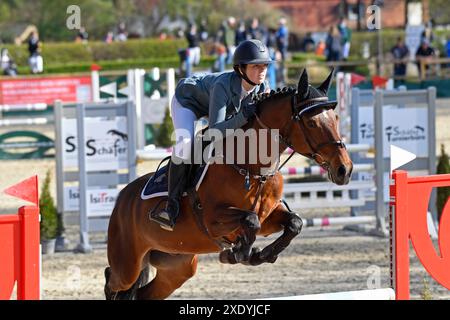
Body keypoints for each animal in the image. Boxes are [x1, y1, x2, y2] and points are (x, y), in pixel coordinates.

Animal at [103, 69, 354, 298]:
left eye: (336, 119)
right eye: (311, 123)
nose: (345, 169)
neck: (253, 168)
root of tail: (122, 198)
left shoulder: (268, 218)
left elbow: (294, 223)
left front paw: (261, 255)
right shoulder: (213, 220)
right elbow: (250, 220)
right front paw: (240, 254)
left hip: (178, 265)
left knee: (143, 293)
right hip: (128, 265)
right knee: (111, 280)